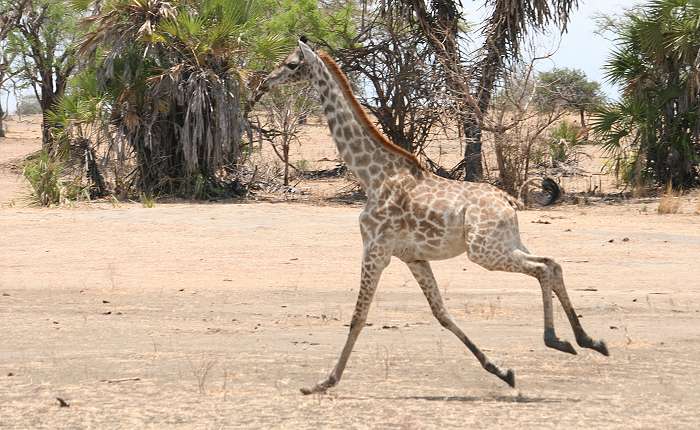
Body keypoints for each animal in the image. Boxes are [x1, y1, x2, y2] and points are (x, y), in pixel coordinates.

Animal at [256, 40, 608, 396]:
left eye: (291, 64)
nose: (264, 83)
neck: (372, 176)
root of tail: (510, 200)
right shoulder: (412, 257)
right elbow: (441, 313)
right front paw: (501, 371)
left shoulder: (375, 250)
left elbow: (358, 316)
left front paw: (322, 382)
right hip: (506, 243)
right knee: (552, 263)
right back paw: (587, 340)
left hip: (485, 252)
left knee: (541, 269)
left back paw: (558, 340)